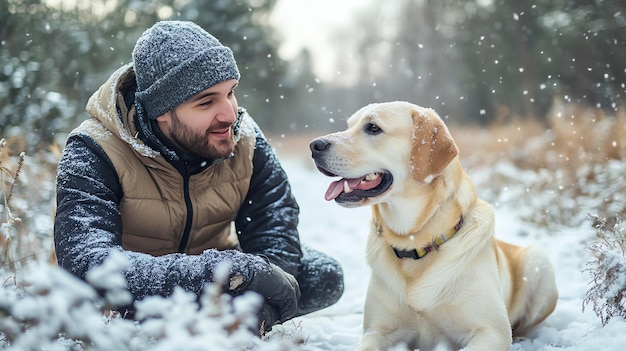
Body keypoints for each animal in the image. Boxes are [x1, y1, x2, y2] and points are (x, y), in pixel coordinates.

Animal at [308, 100, 556, 350]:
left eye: (373, 128)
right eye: (348, 126)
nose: (314, 145)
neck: (416, 244)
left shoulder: (492, 331)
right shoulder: (376, 331)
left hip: (539, 260)